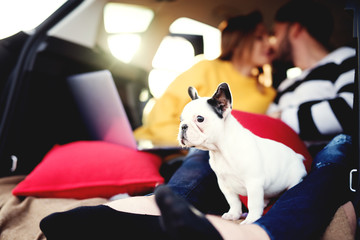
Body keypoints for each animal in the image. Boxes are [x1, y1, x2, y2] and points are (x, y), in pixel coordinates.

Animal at [177, 82, 306, 223]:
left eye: (200, 119)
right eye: (181, 120)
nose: (183, 126)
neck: (221, 150)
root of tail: (298, 157)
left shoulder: (254, 183)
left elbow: (253, 203)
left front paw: (251, 219)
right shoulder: (224, 185)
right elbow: (233, 201)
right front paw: (234, 214)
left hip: (295, 179)